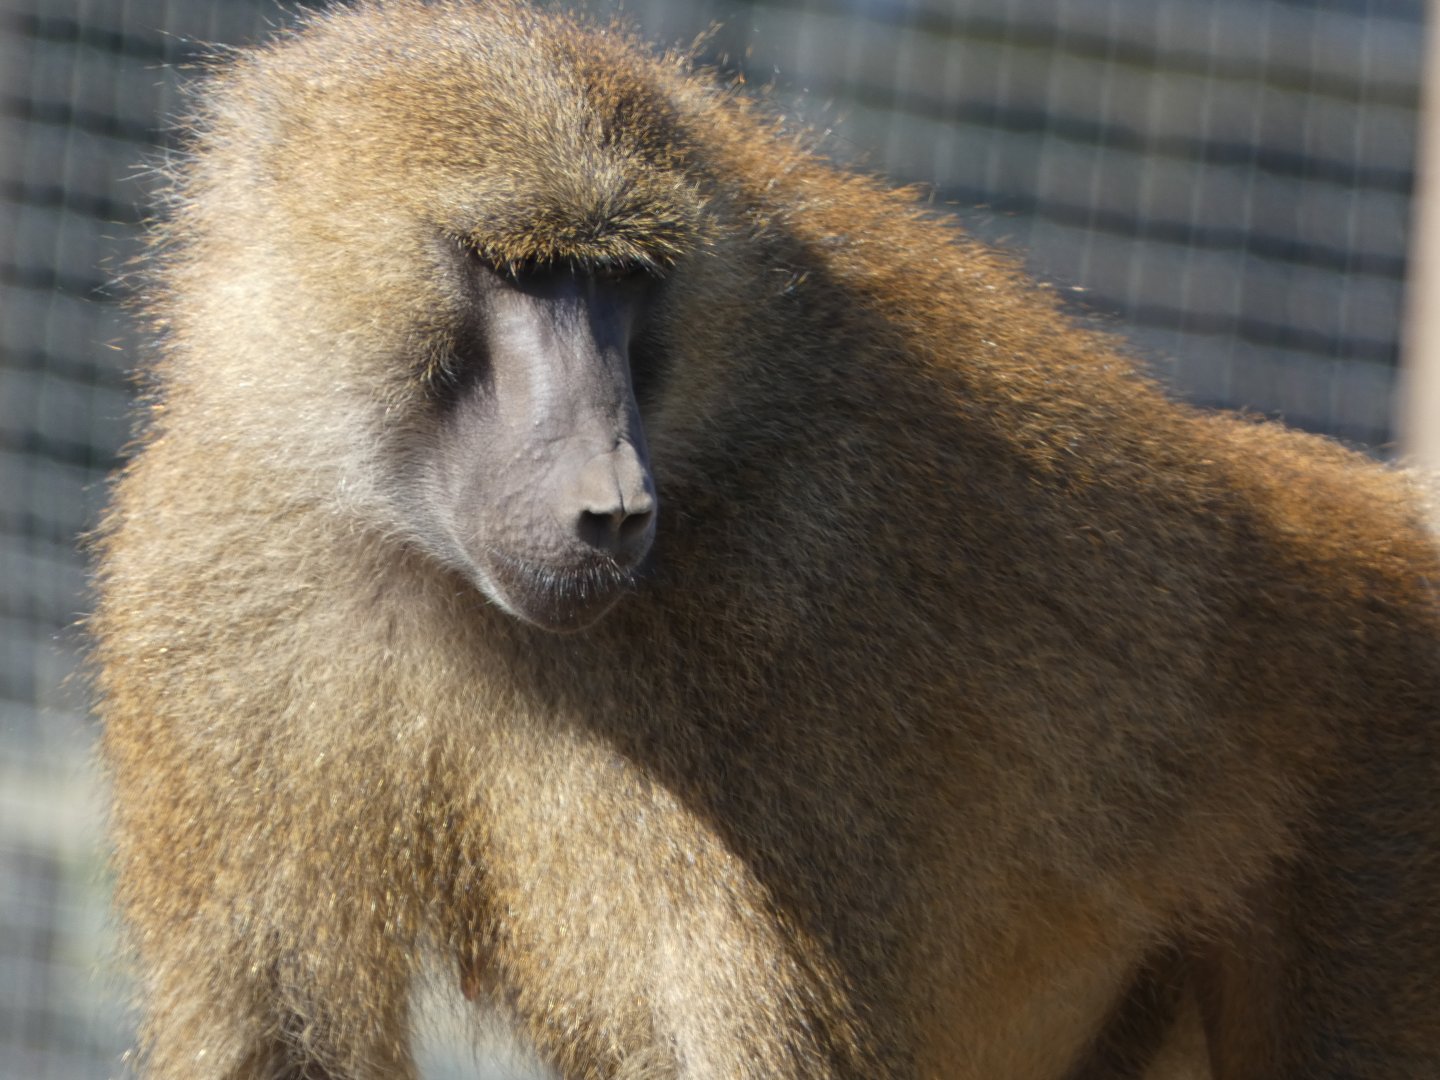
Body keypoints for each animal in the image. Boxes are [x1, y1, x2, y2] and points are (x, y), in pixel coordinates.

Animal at [89, 1, 1440, 1078]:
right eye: (521, 270)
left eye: (628, 282)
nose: (615, 504)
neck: (416, 551)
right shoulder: (210, 559)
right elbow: (282, 1028)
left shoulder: (784, 602)